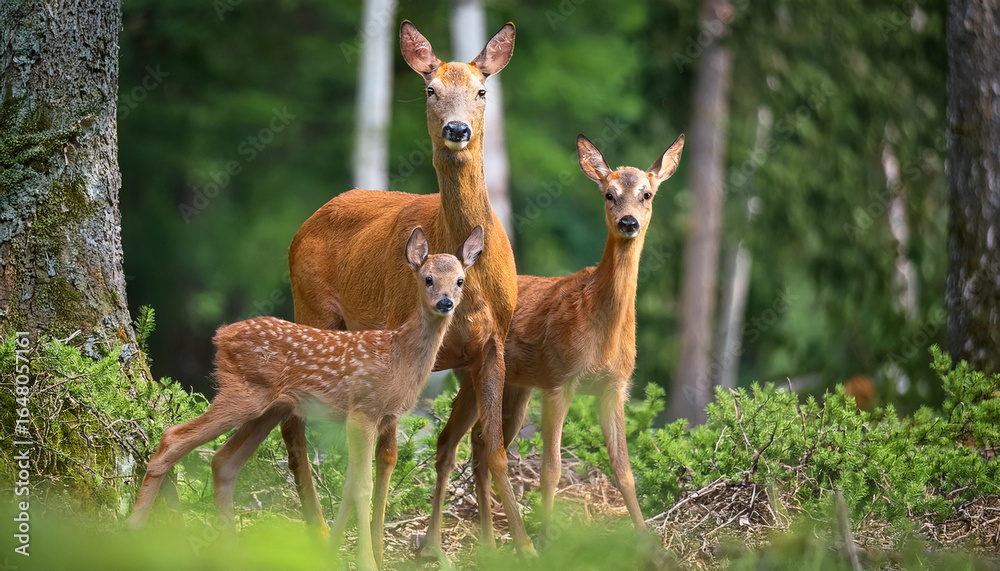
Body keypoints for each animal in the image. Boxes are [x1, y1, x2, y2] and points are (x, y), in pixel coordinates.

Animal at [126, 226, 481, 571]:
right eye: (428, 278)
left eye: (460, 280)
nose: (446, 303)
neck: (399, 358)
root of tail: (221, 336)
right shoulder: (362, 409)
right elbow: (361, 486)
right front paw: (365, 562)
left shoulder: (379, 417)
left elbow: (349, 486)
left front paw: (331, 555)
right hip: (243, 395)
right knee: (173, 437)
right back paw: (132, 530)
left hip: (269, 407)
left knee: (223, 462)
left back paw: (230, 552)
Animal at [285, 20, 531, 560]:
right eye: (430, 89)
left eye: (482, 91)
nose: (457, 130)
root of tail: (301, 227)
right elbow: (391, 452)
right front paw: (377, 550)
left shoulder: (491, 345)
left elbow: (494, 451)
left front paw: (521, 547)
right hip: (313, 311)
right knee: (299, 423)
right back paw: (321, 533)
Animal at [429, 134, 685, 543]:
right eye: (609, 194)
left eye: (646, 194)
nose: (628, 222)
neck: (602, 332)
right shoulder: (557, 380)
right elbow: (552, 469)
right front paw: (547, 537)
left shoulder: (616, 386)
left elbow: (624, 469)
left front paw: (647, 539)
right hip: (473, 375)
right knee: (451, 444)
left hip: (514, 388)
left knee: (482, 445)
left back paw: (489, 541)